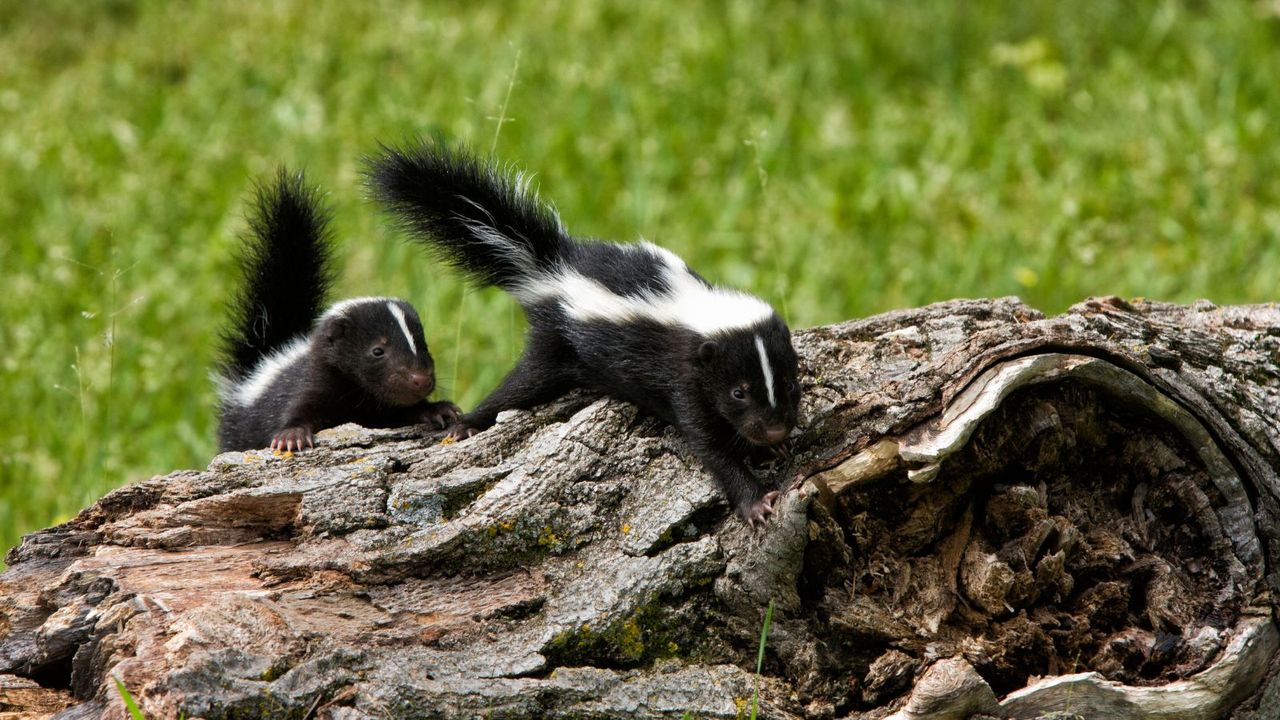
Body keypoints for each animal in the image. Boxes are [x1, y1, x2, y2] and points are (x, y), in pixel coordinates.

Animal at [216, 167, 460, 448]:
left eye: (424, 347)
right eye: (377, 351)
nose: (421, 379)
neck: (361, 397)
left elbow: (402, 410)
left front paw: (437, 409)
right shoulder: (311, 386)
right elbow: (297, 411)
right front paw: (292, 435)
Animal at [368, 140, 798, 525]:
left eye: (791, 384)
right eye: (738, 392)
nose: (776, 429)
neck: (699, 308)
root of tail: (552, 268)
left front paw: (771, 450)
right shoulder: (684, 377)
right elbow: (709, 443)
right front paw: (755, 501)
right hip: (556, 343)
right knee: (519, 385)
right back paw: (468, 423)